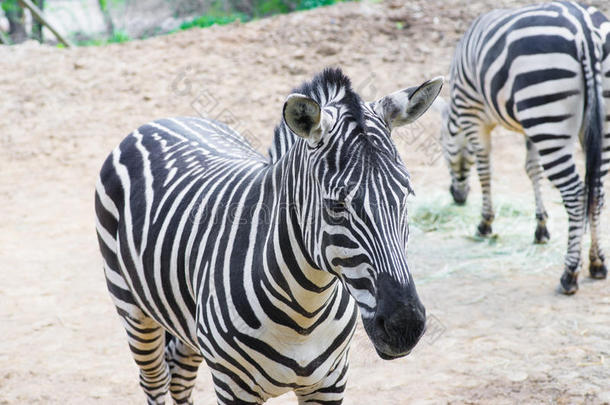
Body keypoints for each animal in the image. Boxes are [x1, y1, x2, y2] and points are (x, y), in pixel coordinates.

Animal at [92, 68, 440, 402]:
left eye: (406, 195)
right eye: (336, 205)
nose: (405, 325)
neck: (306, 312)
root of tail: (163, 120)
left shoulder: (330, 382)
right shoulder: (233, 388)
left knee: (179, 375)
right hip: (132, 308)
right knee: (155, 380)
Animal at [432, 1, 608, 296]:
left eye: (444, 152)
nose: (457, 198)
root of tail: (583, 26)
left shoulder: (473, 114)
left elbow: (484, 168)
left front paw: (485, 223)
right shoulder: (530, 128)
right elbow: (532, 170)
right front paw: (541, 227)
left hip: (547, 113)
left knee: (575, 193)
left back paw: (570, 273)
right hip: (586, 122)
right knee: (596, 190)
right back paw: (597, 263)